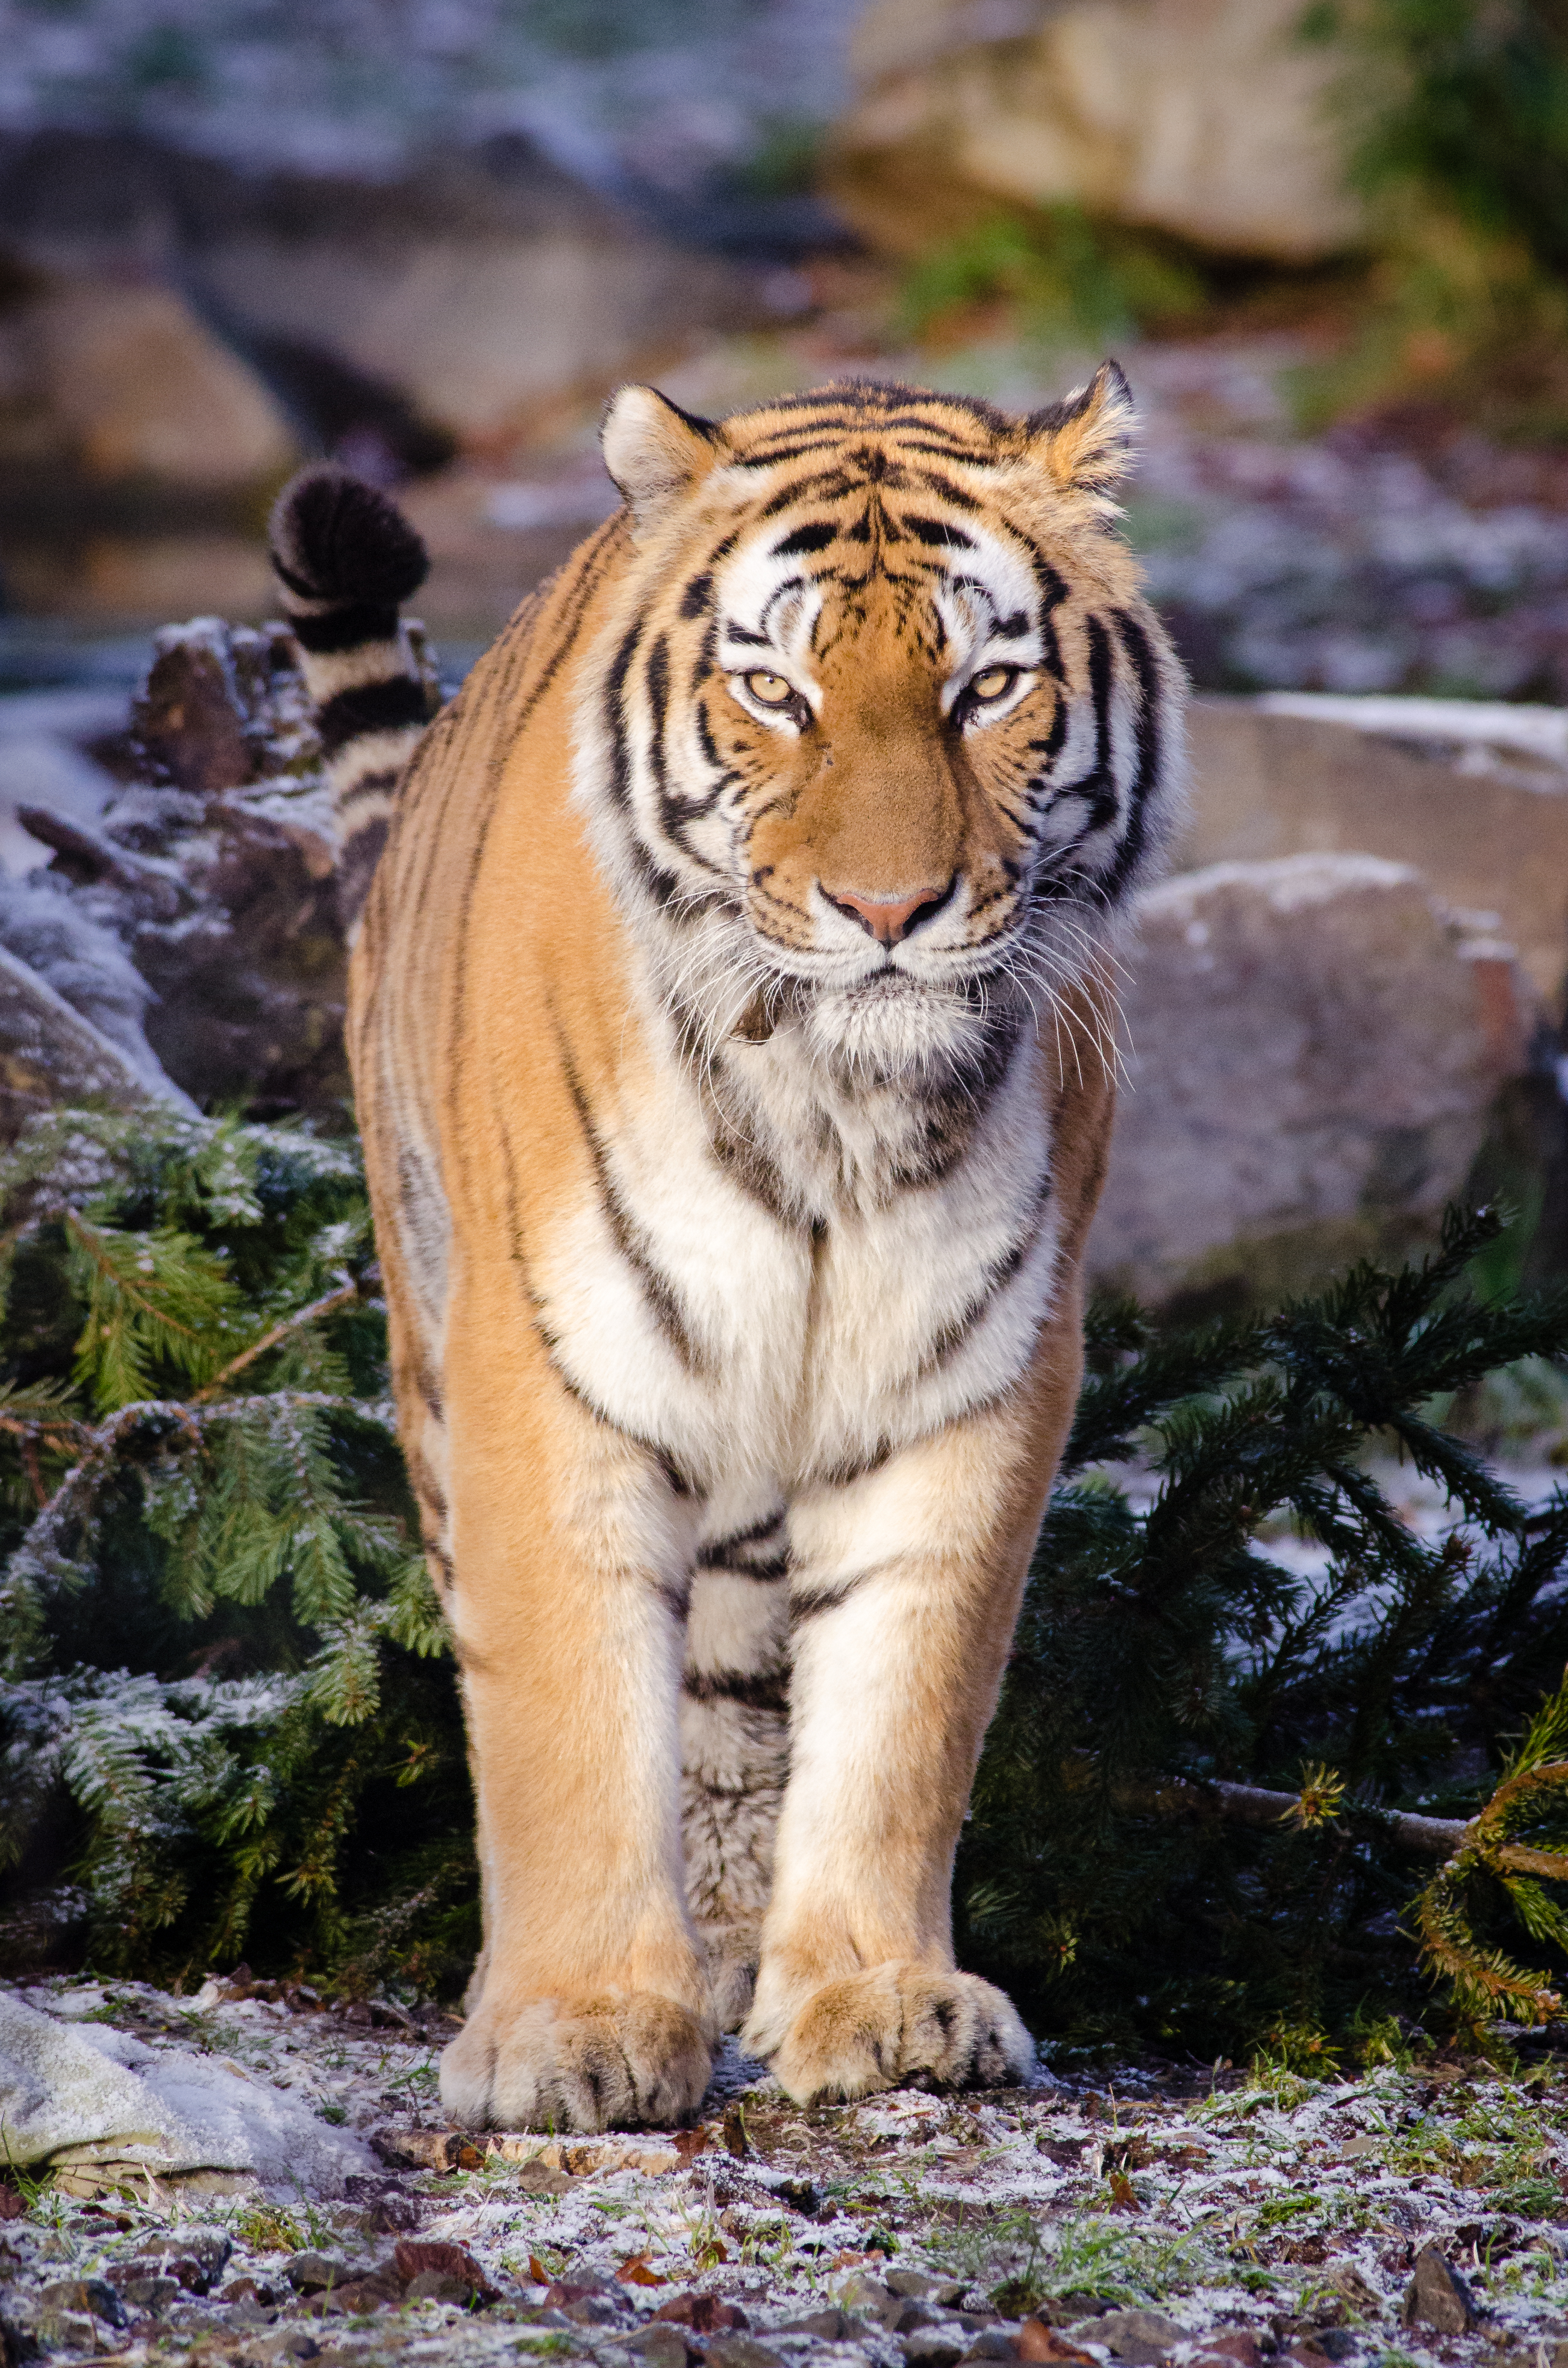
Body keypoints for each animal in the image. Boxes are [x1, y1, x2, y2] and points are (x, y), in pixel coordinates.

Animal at [273, 365, 1193, 2131]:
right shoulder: (547, 1370)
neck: (835, 1105)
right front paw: (568, 2028)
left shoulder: (973, 1378)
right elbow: (563, 1711)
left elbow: (901, 1712)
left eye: (985, 685)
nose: (889, 912)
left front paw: (875, 1997)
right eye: (775, 689)